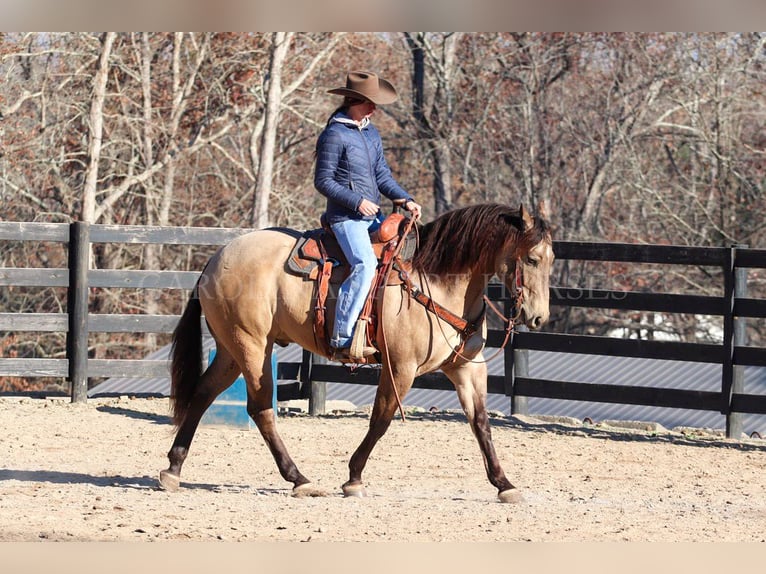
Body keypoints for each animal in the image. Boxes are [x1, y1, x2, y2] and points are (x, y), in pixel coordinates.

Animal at [159, 202, 556, 504]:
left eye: (551, 259)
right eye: (532, 259)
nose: (539, 317)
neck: (437, 281)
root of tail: (216, 259)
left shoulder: (466, 369)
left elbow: (481, 424)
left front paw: (504, 484)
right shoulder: (400, 368)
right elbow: (380, 420)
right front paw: (353, 478)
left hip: (231, 350)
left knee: (203, 394)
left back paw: (173, 469)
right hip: (252, 346)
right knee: (260, 409)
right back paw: (299, 478)